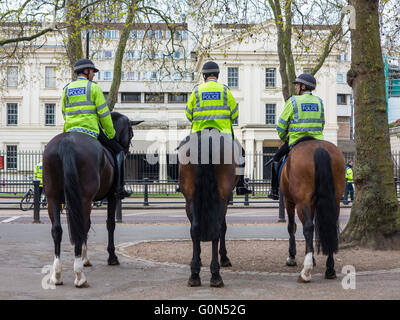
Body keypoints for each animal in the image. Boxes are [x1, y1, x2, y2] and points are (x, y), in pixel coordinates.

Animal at [42, 112, 138, 288]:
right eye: (131, 133)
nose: (127, 149)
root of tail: (67, 141)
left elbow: (87, 225)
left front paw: (85, 258)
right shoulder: (111, 197)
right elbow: (109, 224)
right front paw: (111, 257)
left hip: (53, 198)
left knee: (57, 230)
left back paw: (57, 274)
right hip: (84, 198)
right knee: (79, 227)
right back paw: (79, 275)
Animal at [177, 127, 239, 288]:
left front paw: (197, 259)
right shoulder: (225, 199)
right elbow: (223, 228)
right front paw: (224, 257)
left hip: (190, 198)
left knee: (195, 229)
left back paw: (194, 274)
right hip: (221, 198)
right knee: (217, 229)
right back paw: (216, 274)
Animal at [280, 136, 346, 282]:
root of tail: (319, 148)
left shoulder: (289, 201)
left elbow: (291, 227)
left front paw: (292, 257)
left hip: (301, 202)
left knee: (308, 227)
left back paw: (306, 271)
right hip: (335, 200)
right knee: (329, 226)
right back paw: (330, 269)